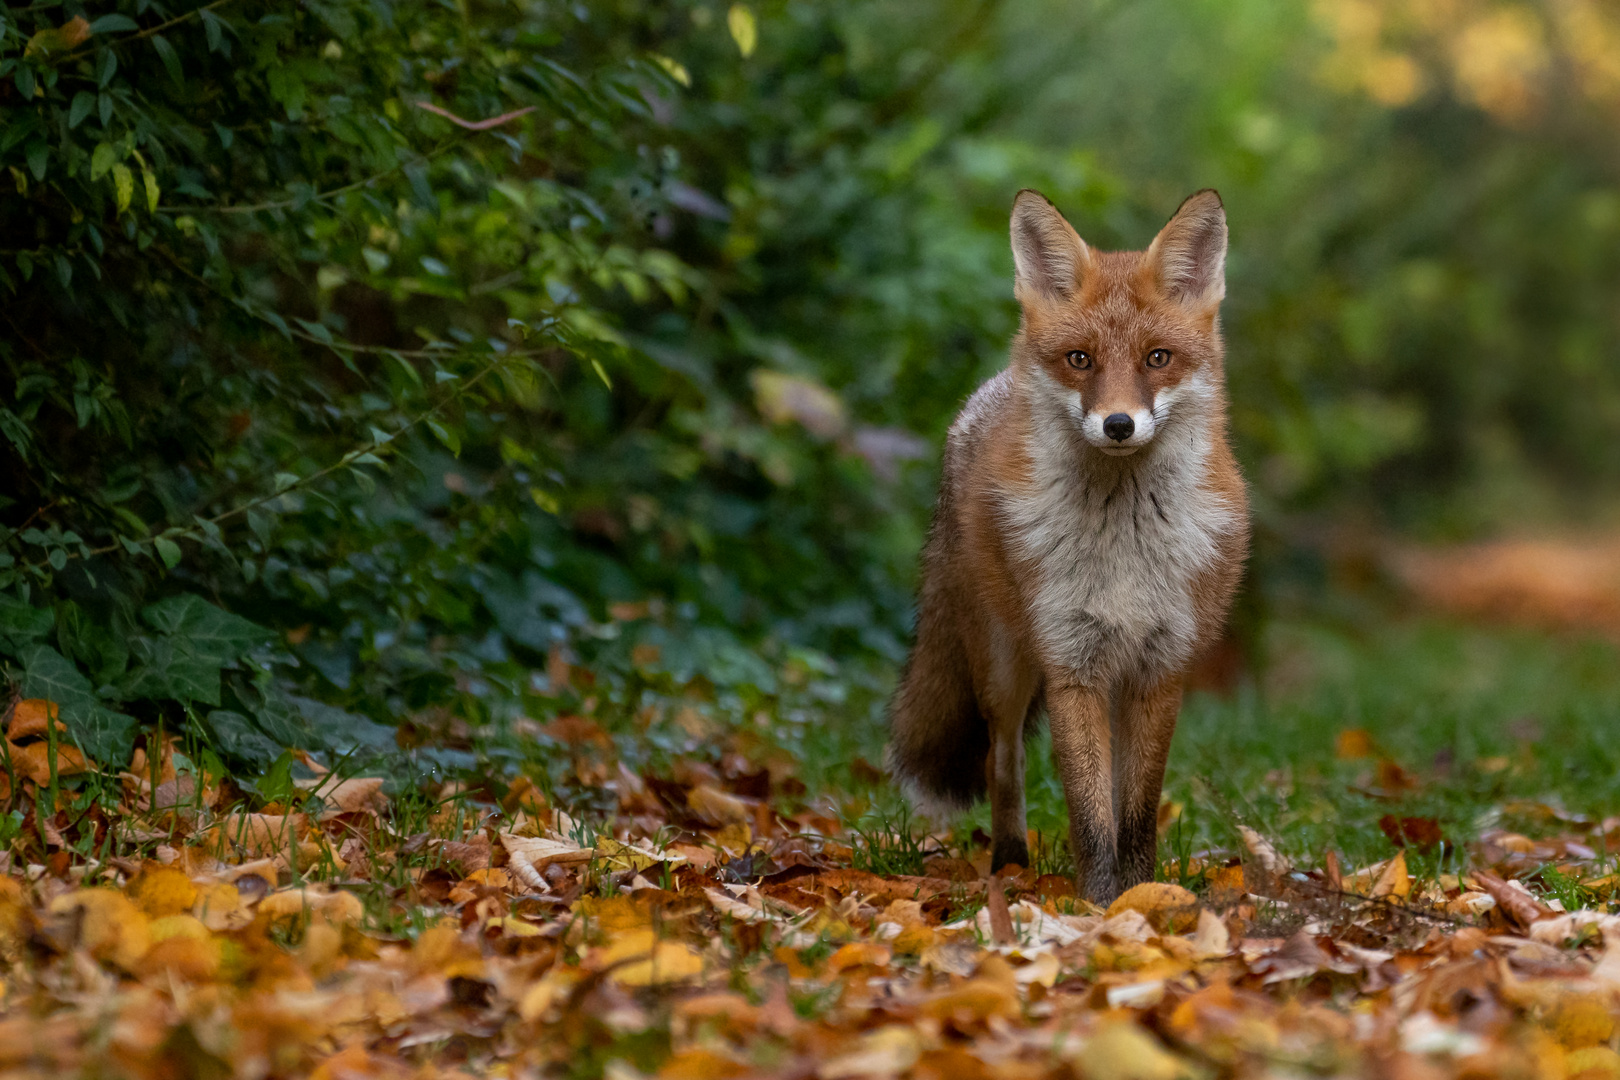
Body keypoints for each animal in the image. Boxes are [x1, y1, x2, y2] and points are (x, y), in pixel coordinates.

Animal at [894, 187, 1244, 906]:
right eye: (1080, 359)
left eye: (1157, 358)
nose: (1118, 424)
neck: (1124, 549)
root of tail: (979, 399)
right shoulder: (1071, 665)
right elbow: (1089, 815)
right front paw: (1101, 905)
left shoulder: (1159, 669)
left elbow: (1134, 813)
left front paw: (1141, 896)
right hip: (1004, 666)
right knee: (1003, 761)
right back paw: (1010, 864)